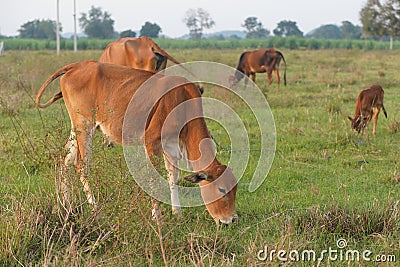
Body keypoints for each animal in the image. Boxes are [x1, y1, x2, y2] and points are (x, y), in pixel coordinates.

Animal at [35, 61, 238, 226]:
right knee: (81, 166)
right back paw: (96, 212)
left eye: (235, 189)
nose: (230, 220)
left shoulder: (171, 147)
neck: (183, 101)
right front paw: (158, 219)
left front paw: (177, 213)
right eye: (221, 189)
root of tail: (76, 66)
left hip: (76, 128)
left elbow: (173, 178)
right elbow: (154, 180)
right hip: (85, 125)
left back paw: (66, 206)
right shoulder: (152, 142)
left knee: (65, 161)